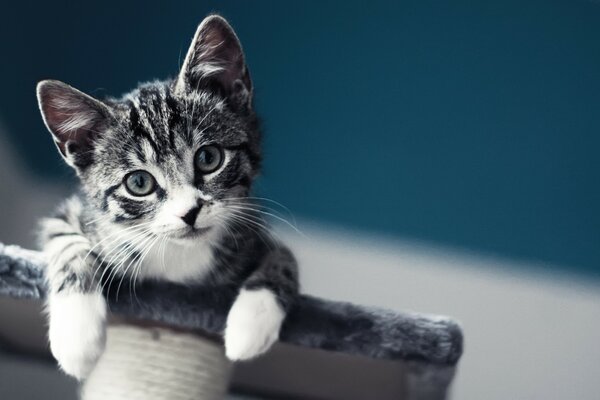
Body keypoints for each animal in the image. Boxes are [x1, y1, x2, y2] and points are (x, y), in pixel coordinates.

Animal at [34, 14, 298, 378]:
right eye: (139, 183)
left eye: (209, 158)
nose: (190, 212)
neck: (179, 254)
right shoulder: (75, 215)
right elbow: (66, 245)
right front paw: (77, 337)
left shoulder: (252, 229)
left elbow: (284, 259)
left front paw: (251, 324)